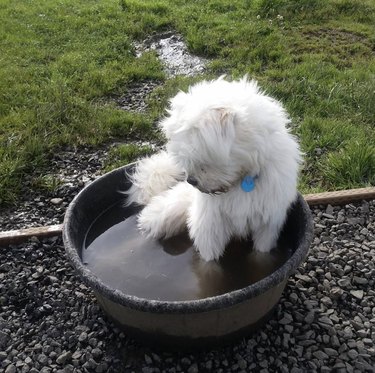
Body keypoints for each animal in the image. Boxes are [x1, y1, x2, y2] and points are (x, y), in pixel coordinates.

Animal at [126, 76, 302, 258]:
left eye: (204, 160)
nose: (192, 181)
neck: (243, 179)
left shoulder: (267, 225)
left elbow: (261, 253)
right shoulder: (210, 225)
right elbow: (209, 259)